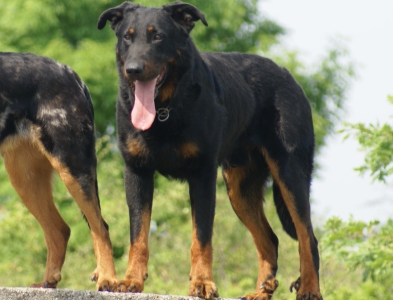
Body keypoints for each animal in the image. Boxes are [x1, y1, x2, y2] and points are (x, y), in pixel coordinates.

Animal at [97, 2, 322, 300]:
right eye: (127, 37)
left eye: (157, 37)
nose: (133, 69)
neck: (166, 110)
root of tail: (290, 78)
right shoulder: (137, 172)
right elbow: (138, 235)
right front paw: (132, 280)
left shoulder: (202, 175)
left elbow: (201, 238)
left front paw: (202, 283)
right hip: (240, 189)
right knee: (270, 240)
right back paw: (261, 292)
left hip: (290, 174)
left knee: (307, 237)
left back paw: (309, 288)